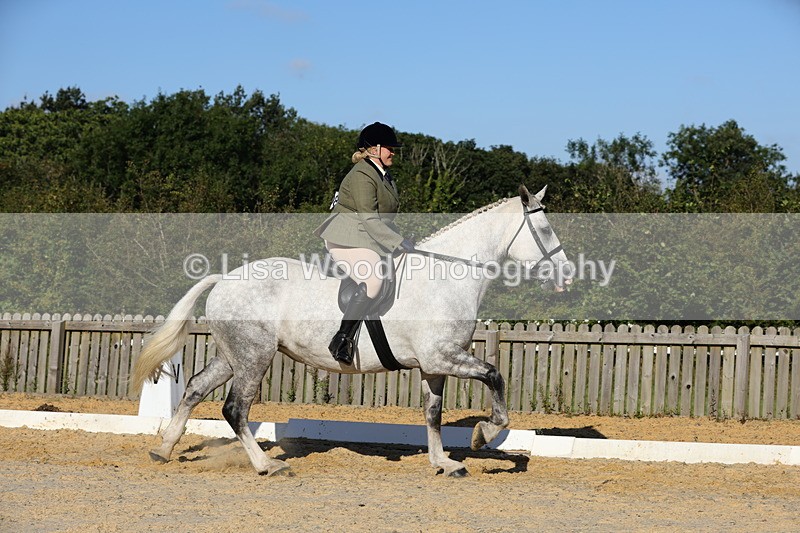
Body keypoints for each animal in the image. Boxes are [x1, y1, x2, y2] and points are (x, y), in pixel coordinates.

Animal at [132, 184, 570, 477]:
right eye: (546, 230)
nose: (566, 275)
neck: (446, 276)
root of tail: (224, 278)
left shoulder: (434, 365)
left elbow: (433, 413)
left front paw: (443, 462)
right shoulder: (442, 356)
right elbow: (494, 376)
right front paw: (484, 434)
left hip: (233, 356)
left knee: (194, 389)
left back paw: (164, 450)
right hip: (254, 356)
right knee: (235, 409)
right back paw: (267, 465)